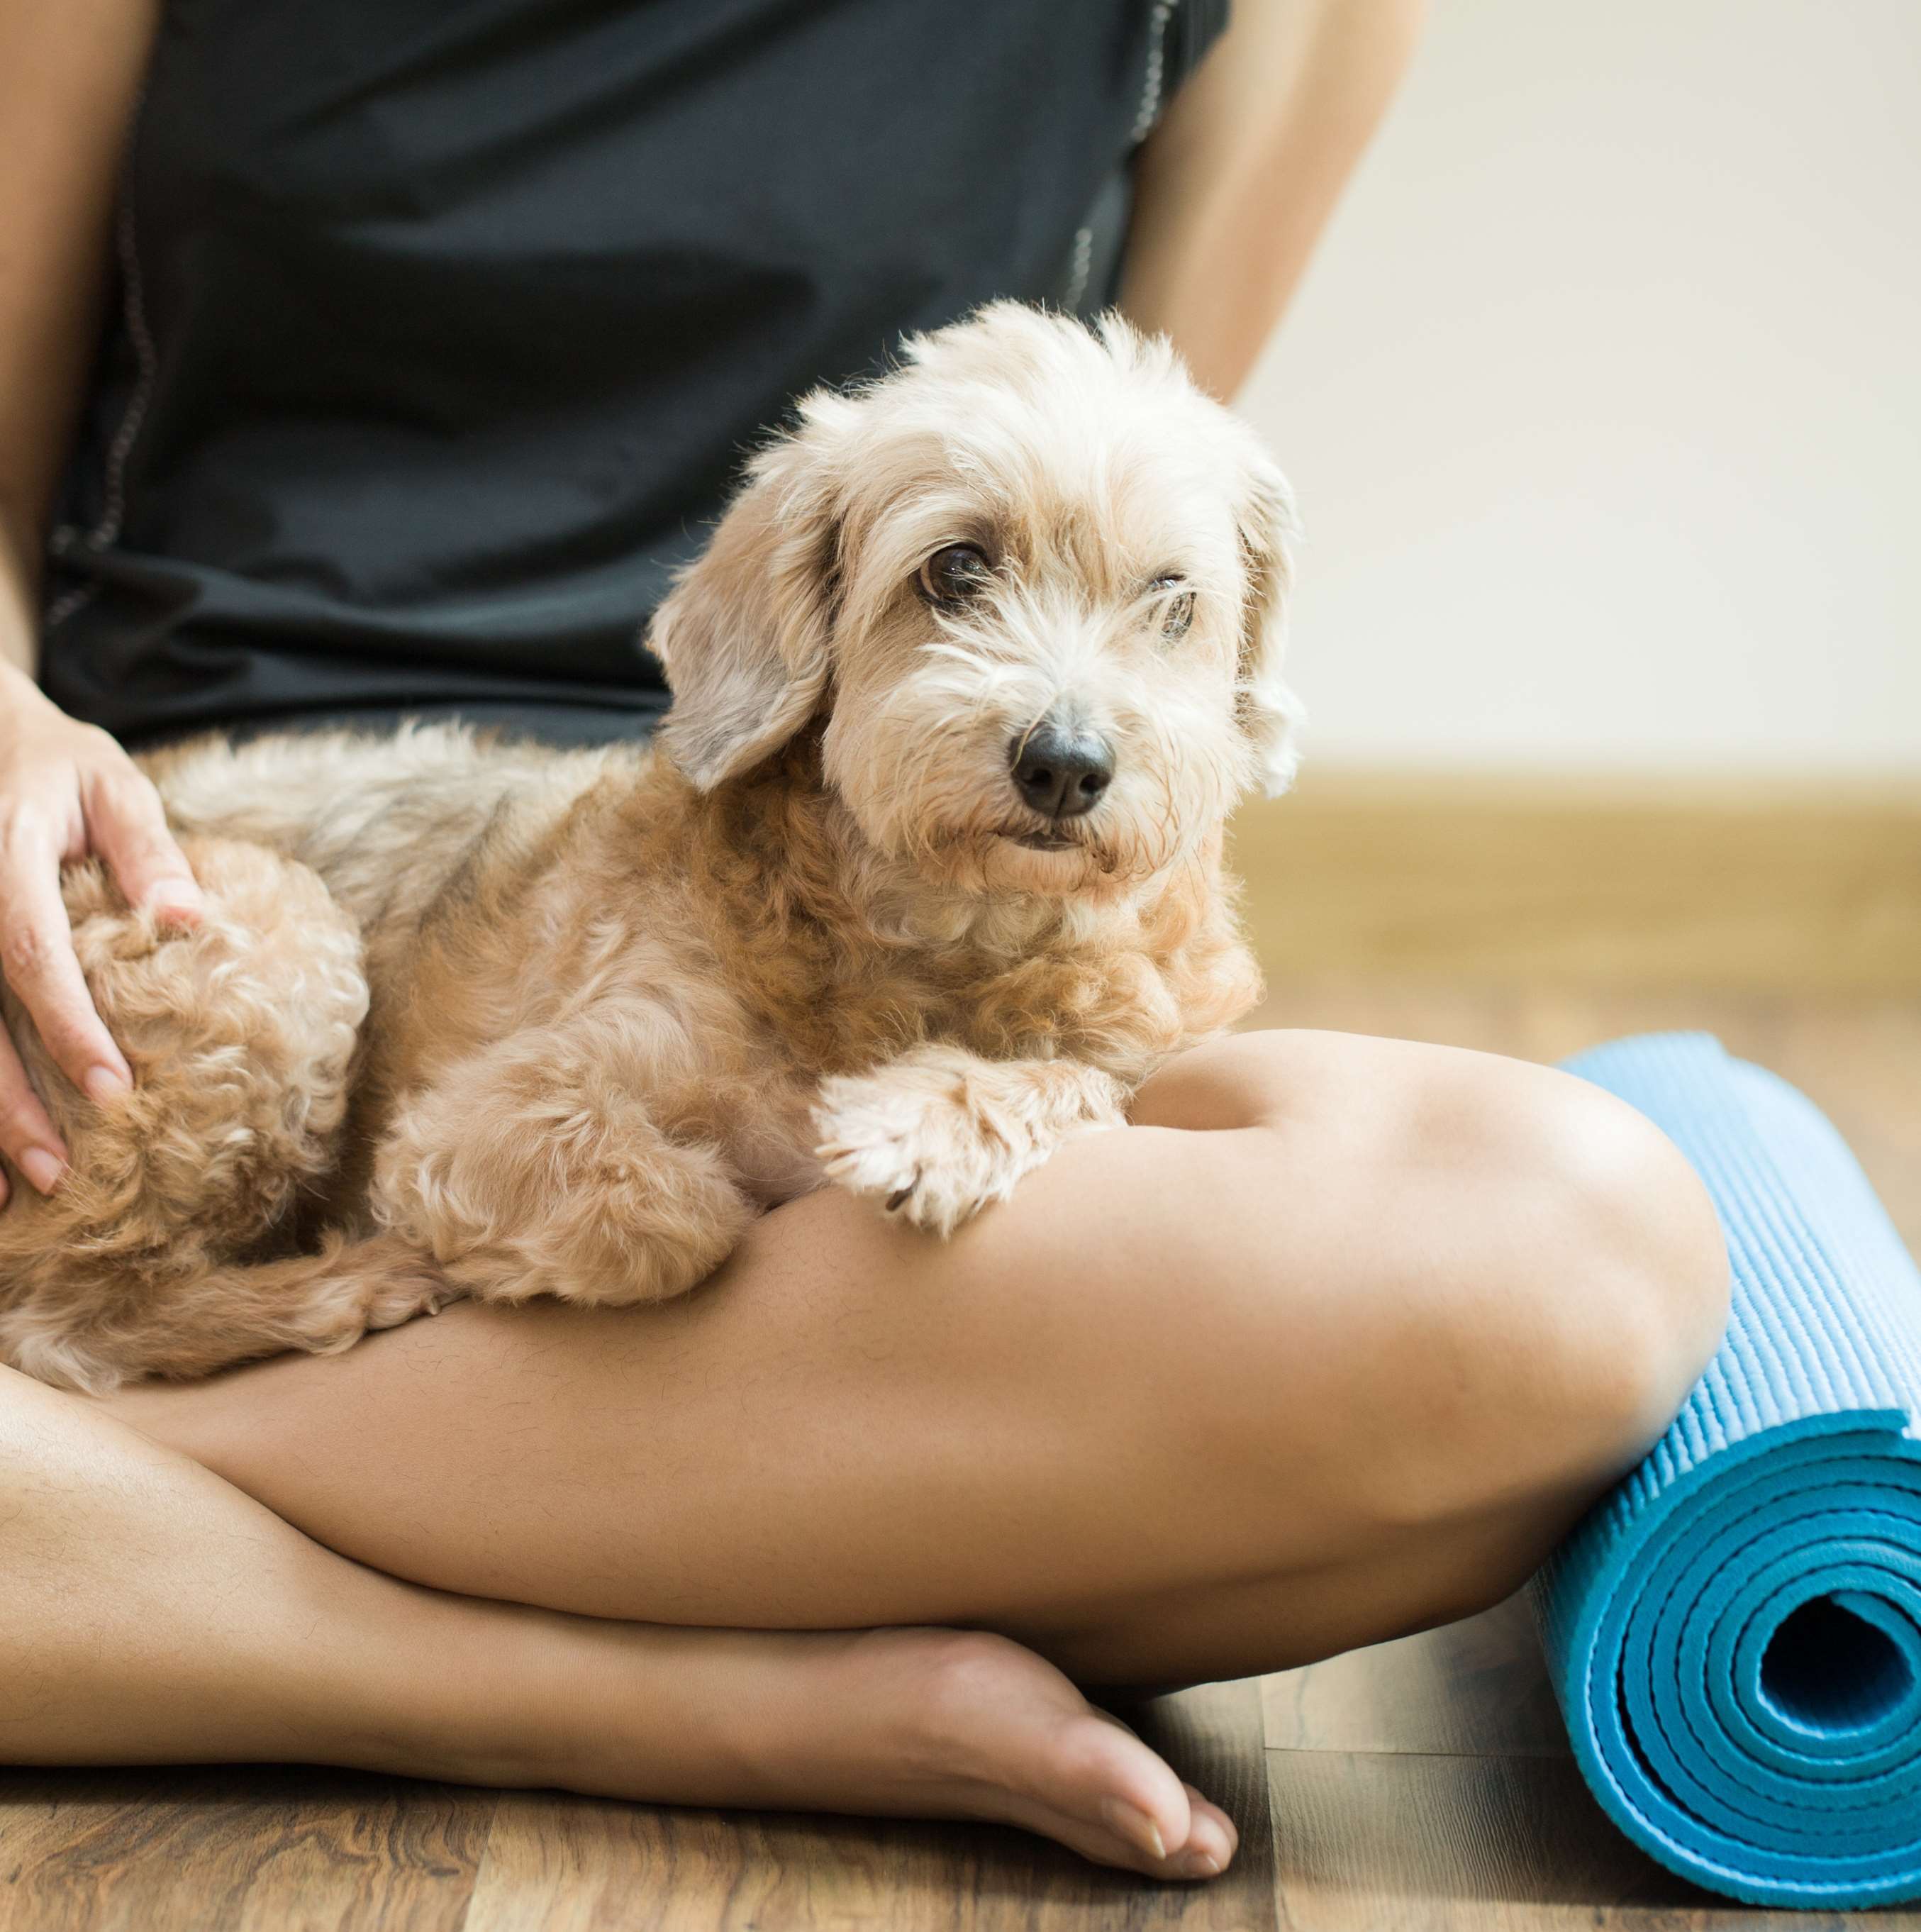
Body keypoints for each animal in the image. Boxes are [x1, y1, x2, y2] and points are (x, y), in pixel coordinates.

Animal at [0, 301, 1306, 1391]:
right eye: (955, 566)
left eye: (1172, 600)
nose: (1067, 765)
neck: (935, 935)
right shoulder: (477, 1117)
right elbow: (692, 1219)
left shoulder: (1130, 1036)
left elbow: (1077, 1076)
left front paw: (933, 1118)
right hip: (268, 959)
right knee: (72, 1319)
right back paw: (351, 1283)